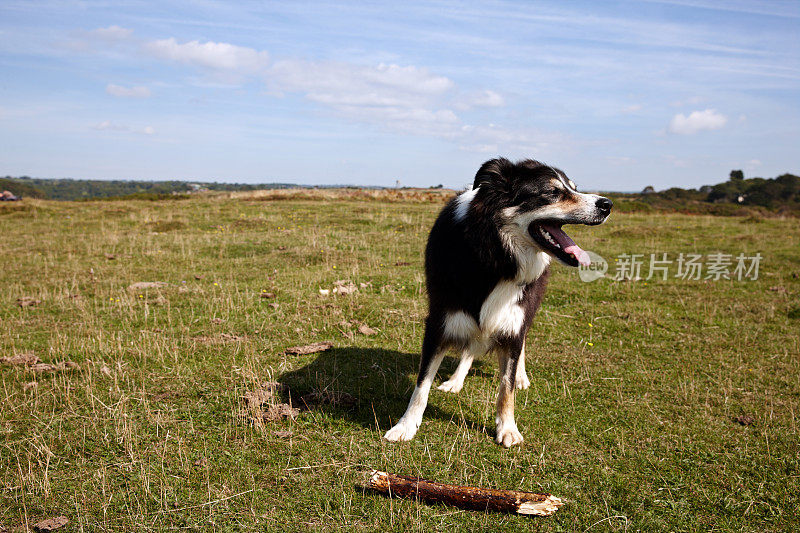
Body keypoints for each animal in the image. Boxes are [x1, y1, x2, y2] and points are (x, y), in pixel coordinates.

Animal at [382, 157, 612, 444]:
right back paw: (456, 380)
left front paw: (508, 428)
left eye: (574, 188)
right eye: (552, 192)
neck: (496, 256)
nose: (607, 204)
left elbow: (507, 385)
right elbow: (422, 382)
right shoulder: (439, 321)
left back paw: (521, 376)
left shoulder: (514, 320)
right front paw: (405, 425)